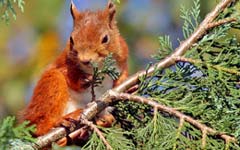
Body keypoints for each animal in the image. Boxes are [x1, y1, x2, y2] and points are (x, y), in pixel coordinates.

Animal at [19, 1, 128, 137]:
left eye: (105, 38)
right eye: (71, 39)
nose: (85, 60)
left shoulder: (123, 54)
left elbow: (124, 70)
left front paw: (123, 79)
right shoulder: (63, 62)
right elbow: (68, 74)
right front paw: (83, 80)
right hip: (51, 84)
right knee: (40, 125)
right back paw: (59, 121)